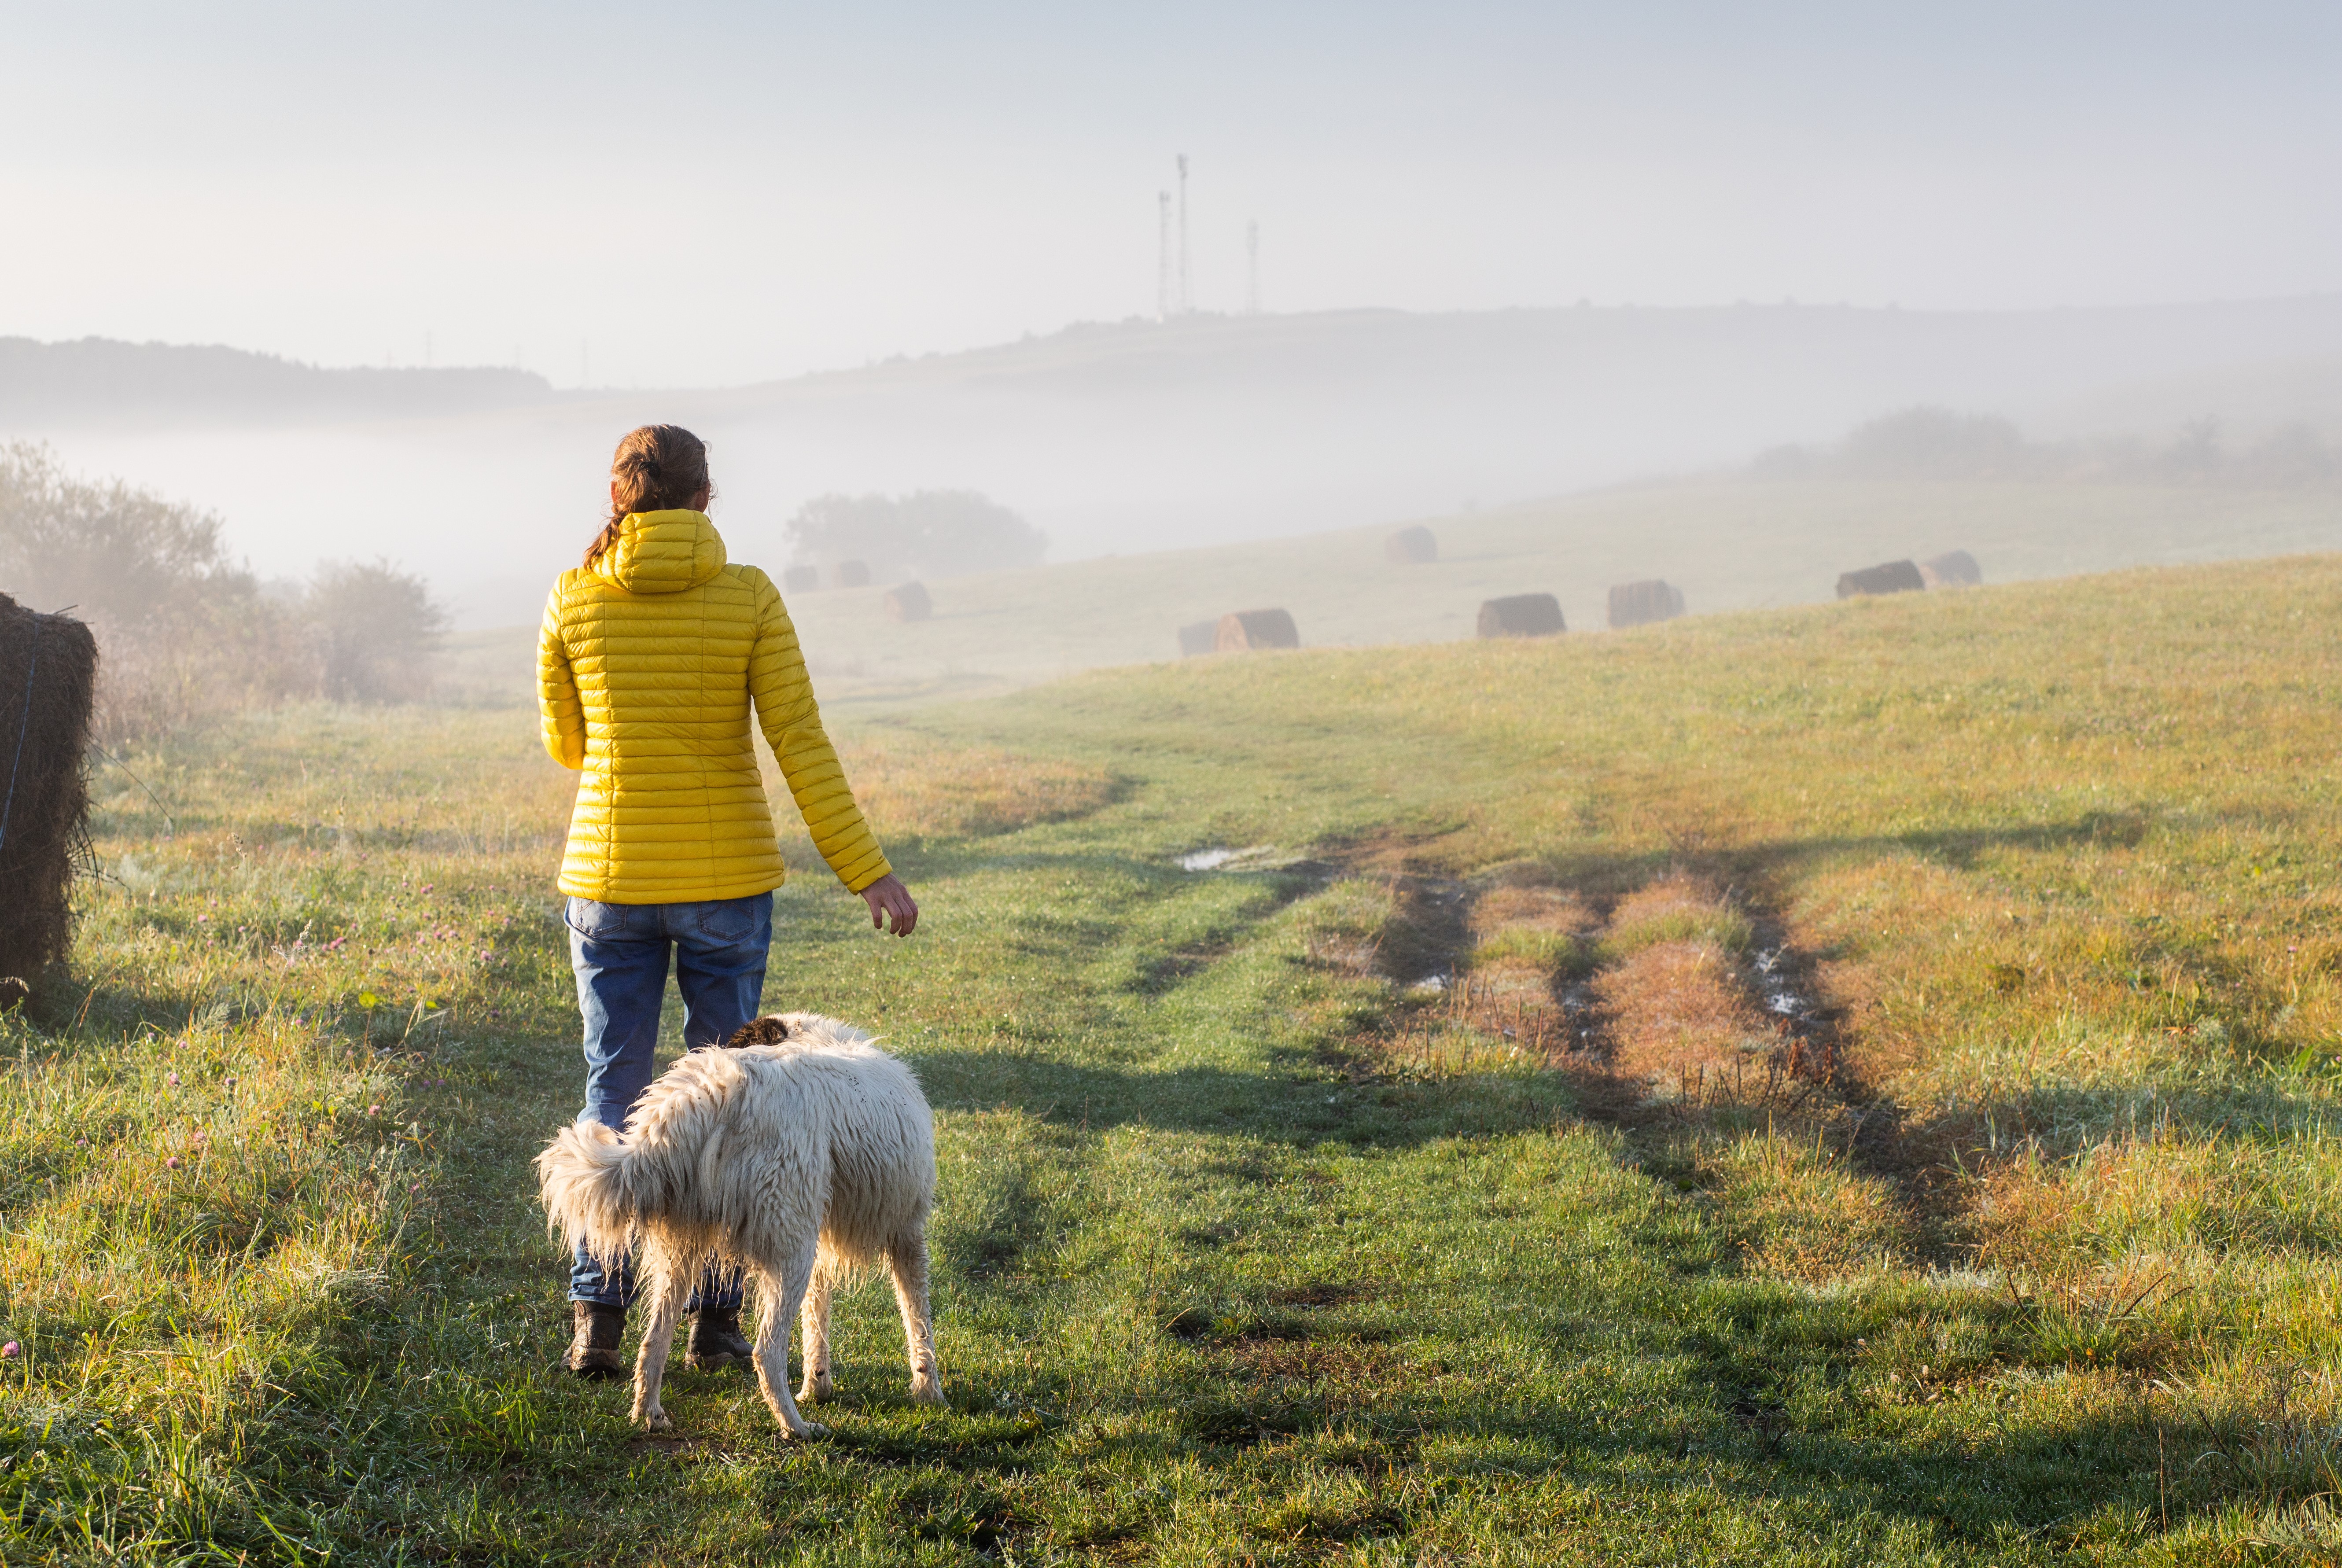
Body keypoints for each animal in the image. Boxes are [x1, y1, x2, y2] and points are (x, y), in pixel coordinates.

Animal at [538, 1020, 941, 1441]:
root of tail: (705, 1096)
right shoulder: (908, 1236)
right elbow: (919, 1324)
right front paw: (929, 1392)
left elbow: (816, 1326)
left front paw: (818, 1387)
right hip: (791, 1252)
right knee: (768, 1352)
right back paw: (797, 1428)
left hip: (686, 1254)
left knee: (653, 1343)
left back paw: (650, 1416)